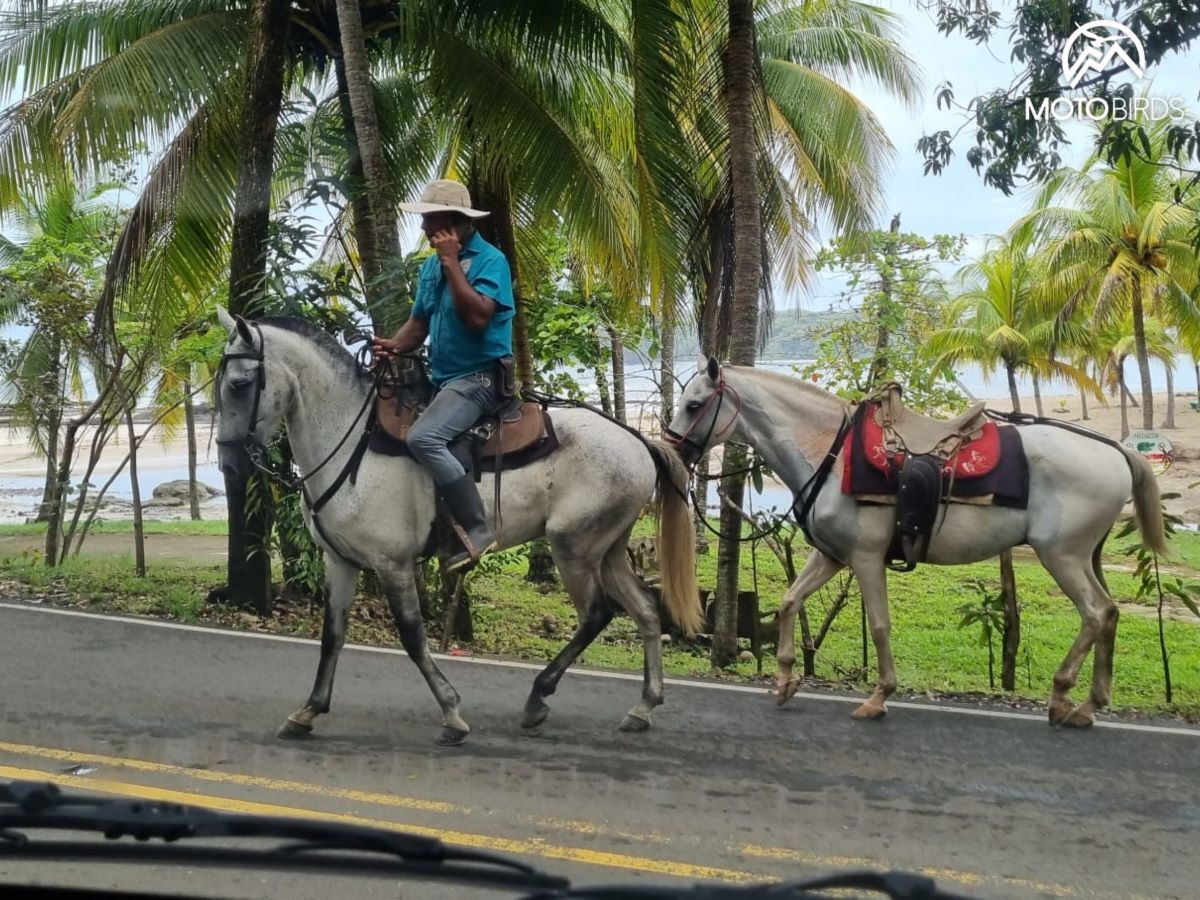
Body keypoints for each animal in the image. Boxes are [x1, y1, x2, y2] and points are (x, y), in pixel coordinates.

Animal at [214, 309, 700, 748]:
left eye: (239, 385)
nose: (230, 465)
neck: (351, 444)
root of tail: (638, 440)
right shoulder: (340, 561)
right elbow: (332, 636)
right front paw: (308, 711)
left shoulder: (392, 564)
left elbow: (413, 637)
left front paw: (451, 713)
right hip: (609, 548)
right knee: (646, 611)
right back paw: (643, 706)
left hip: (573, 547)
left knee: (597, 614)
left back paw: (538, 697)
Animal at [662, 357, 1166, 724]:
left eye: (694, 405)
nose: (672, 448)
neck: (831, 453)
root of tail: (1115, 451)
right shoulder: (831, 555)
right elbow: (788, 603)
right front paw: (786, 679)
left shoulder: (865, 558)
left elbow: (880, 625)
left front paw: (878, 697)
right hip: (1084, 556)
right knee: (1109, 613)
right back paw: (1088, 703)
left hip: (1062, 555)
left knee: (1096, 613)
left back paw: (1064, 697)